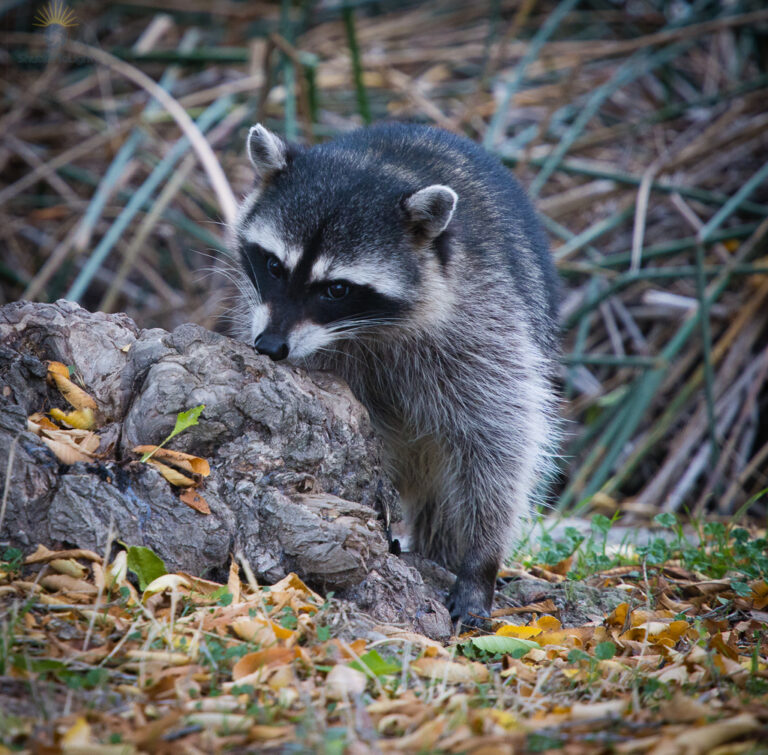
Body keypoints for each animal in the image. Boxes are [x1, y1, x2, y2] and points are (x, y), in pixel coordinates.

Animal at [232, 122, 560, 628]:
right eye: (273, 266)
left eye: (337, 289)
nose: (269, 347)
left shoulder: (483, 320)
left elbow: (498, 440)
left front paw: (480, 560)